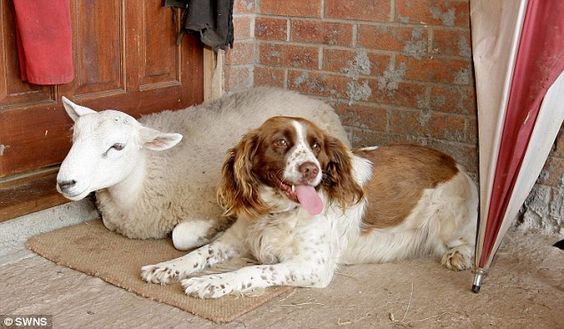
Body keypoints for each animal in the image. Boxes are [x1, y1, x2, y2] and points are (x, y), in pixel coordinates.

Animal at [57, 87, 348, 249]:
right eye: (74, 137)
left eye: (117, 146)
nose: (64, 182)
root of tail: (308, 97)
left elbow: (180, 236)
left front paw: (212, 232)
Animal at [140, 115, 476, 298]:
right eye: (280, 143)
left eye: (316, 145)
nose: (310, 169)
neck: (278, 213)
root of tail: (455, 163)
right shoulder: (233, 240)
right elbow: (198, 253)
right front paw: (165, 267)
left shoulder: (313, 266)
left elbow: (256, 270)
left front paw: (210, 283)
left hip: (449, 223)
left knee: (472, 240)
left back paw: (458, 256)